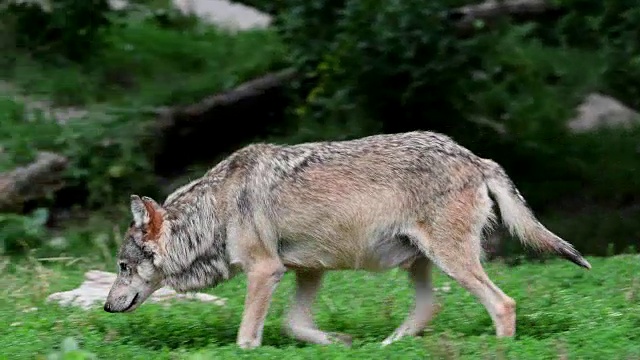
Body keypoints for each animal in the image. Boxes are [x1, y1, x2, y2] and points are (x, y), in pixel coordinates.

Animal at [105, 130, 592, 348]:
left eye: (123, 267)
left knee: (503, 304)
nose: (107, 307)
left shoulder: (266, 271)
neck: (216, 211)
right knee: (430, 307)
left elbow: (247, 336)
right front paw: (339, 345)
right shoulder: (307, 271)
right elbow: (295, 324)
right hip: (420, 263)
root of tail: (475, 157)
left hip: (451, 260)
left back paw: (498, 349)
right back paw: (389, 348)